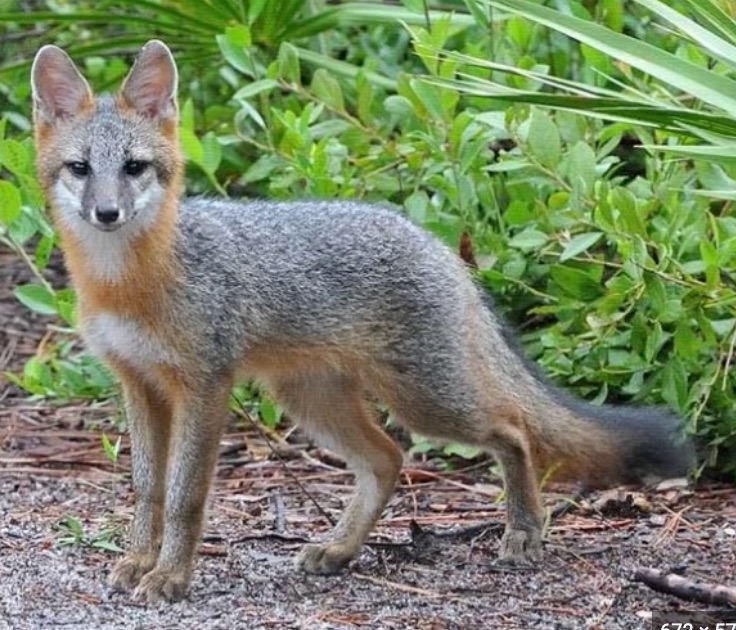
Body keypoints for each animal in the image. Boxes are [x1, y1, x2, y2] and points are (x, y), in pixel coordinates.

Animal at [30, 40, 693, 603]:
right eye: (81, 169)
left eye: (135, 167)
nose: (107, 212)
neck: (130, 283)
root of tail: (435, 242)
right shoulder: (138, 384)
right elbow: (147, 488)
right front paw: (139, 563)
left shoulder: (203, 386)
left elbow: (184, 495)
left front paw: (170, 577)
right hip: (315, 401)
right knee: (387, 459)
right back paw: (341, 549)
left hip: (427, 402)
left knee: (512, 429)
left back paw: (524, 530)